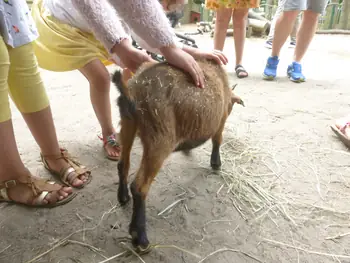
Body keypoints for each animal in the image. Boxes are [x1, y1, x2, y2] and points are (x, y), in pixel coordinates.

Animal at [112, 58, 243, 253]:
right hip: (159, 139)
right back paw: (140, 238)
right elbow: (217, 140)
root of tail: (134, 89)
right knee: (139, 186)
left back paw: (123, 197)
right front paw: (216, 163)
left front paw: (188, 149)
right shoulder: (221, 121)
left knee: (123, 165)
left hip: (128, 123)